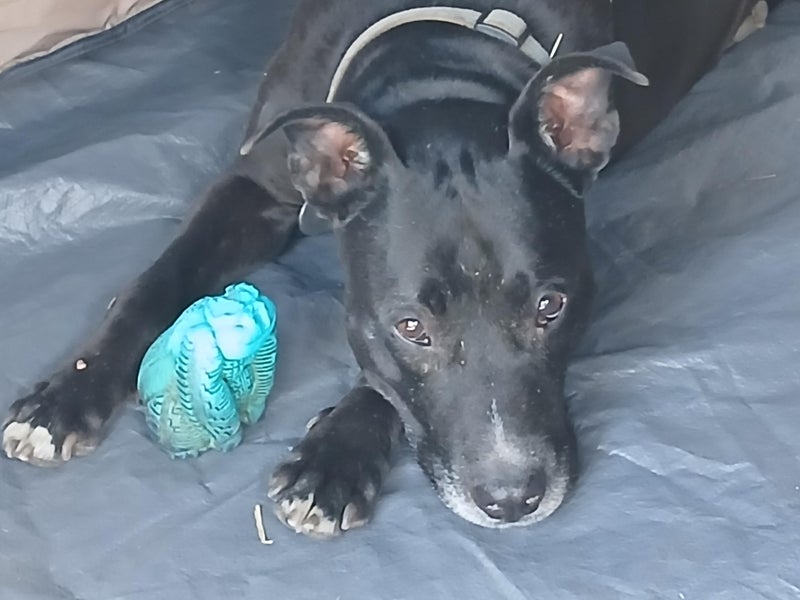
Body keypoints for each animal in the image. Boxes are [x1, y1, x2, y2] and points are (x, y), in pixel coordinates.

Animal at [2, 0, 774, 537]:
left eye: (551, 308)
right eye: (410, 326)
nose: (512, 499)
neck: (438, 68)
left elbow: (378, 386)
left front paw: (333, 460)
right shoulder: (253, 186)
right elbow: (156, 280)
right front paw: (65, 397)